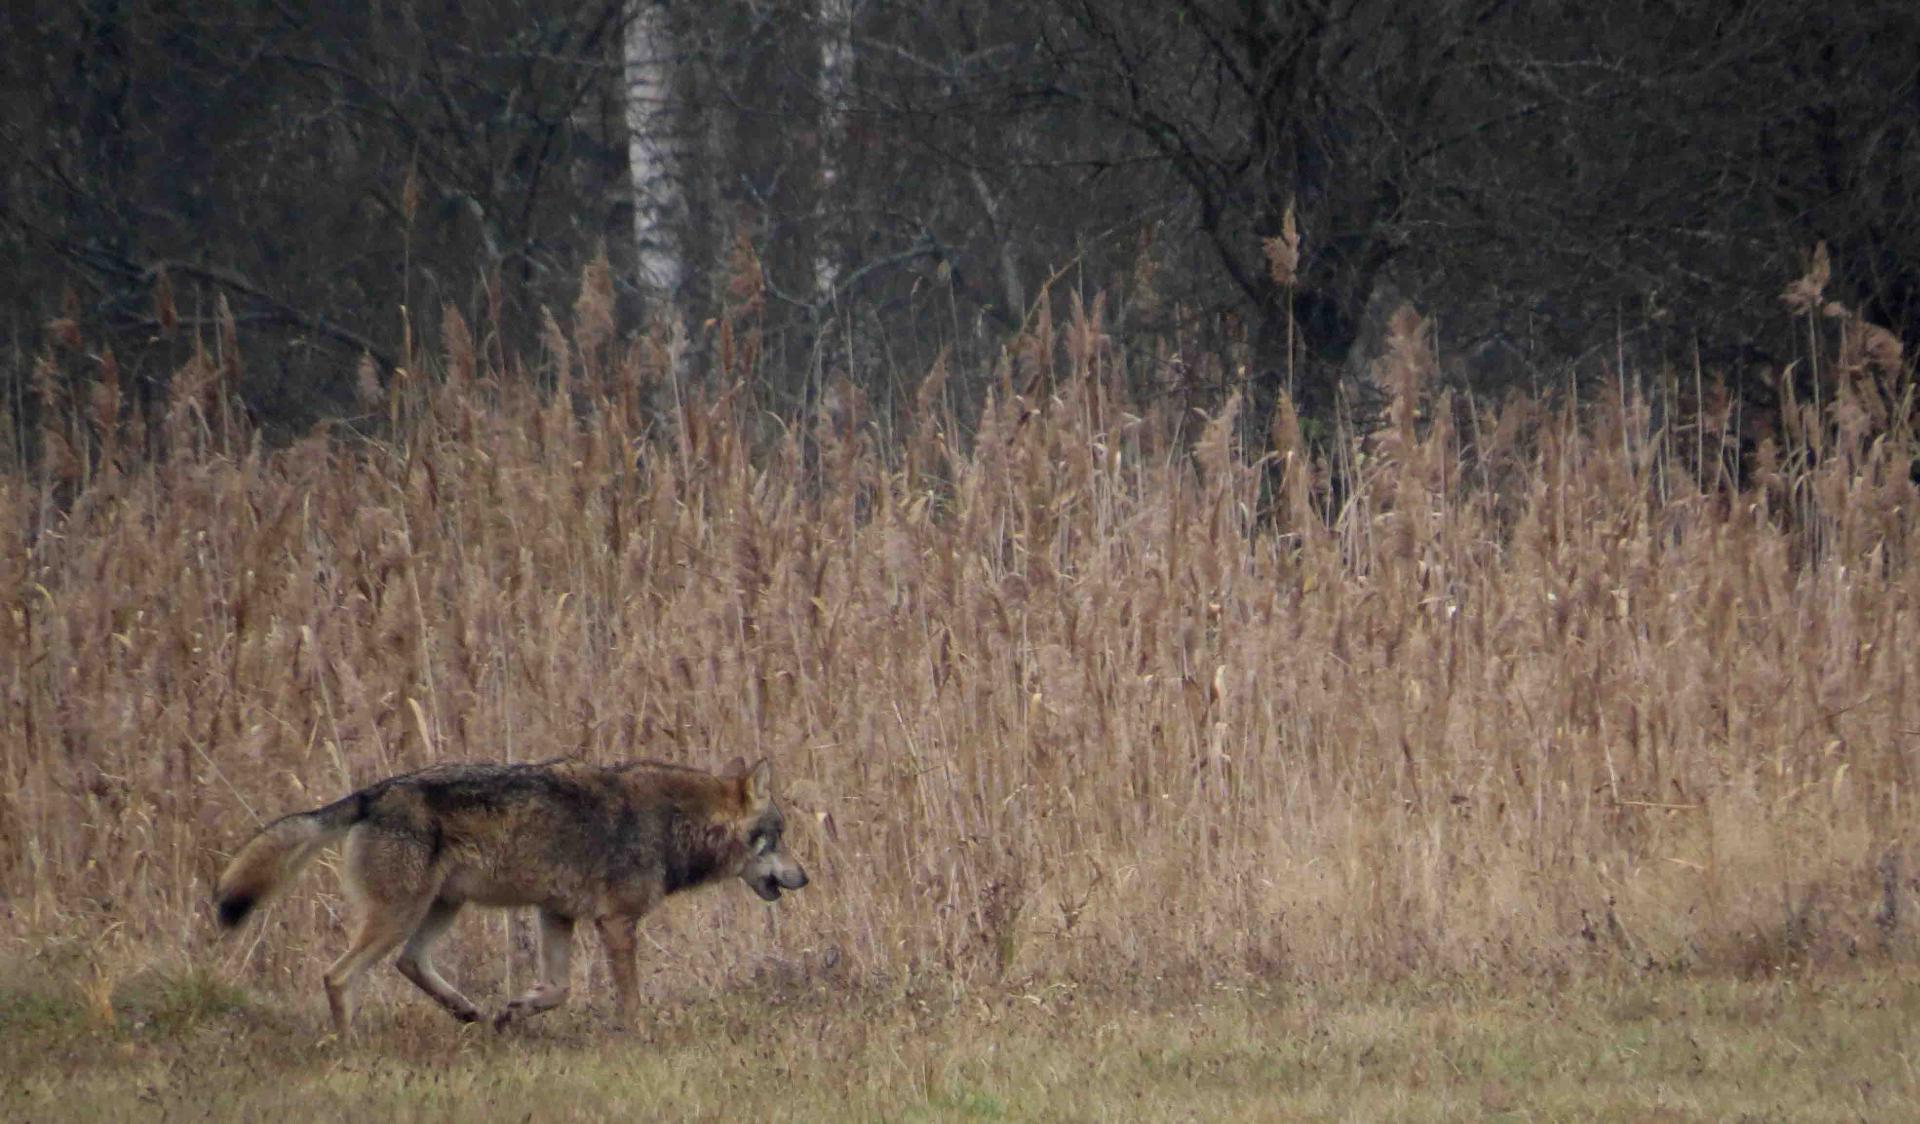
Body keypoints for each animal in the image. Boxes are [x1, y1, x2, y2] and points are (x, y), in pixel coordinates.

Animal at [212, 753, 810, 1037]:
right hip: (400, 916)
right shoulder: (616, 923)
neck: (673, 822)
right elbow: (631, 1000)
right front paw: (640, 1040)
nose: (804, 877)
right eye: (779, 837)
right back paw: (351, 1048)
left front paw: (513, 1012)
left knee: (409, 963)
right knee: (338, 977)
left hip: (440, 909)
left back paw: (467, 1012)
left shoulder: (556, 914)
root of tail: (373, 793)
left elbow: (558, 990)